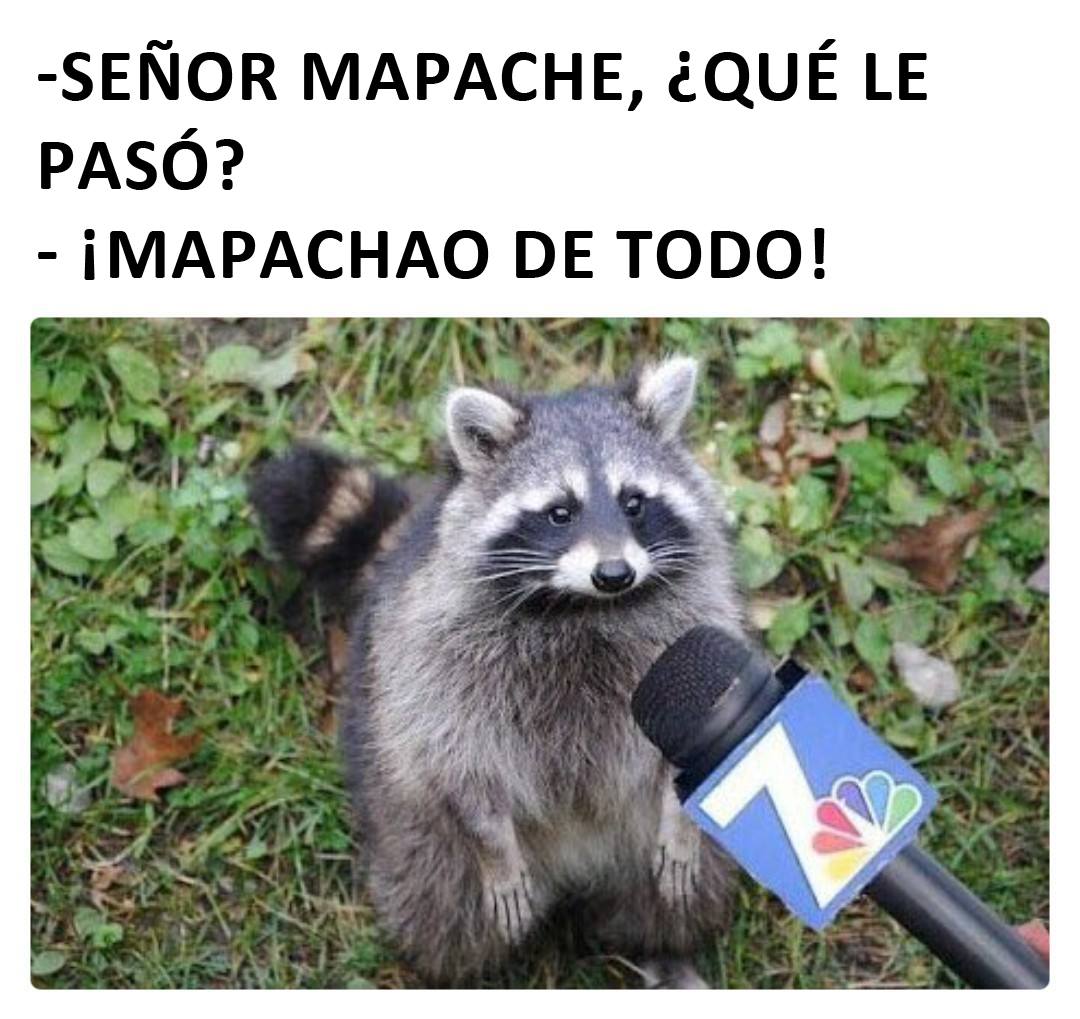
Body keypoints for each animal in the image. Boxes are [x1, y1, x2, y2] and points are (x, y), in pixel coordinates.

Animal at [250, 356, 747, 987]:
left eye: (634, 502)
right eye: (560, 512)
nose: (614, 573)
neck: (582, 608)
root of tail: (575, 868)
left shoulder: (690, 628)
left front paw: (678, 822)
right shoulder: (437, 659)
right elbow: (460, 756)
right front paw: (492, 841)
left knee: (679, 890)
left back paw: (662, 945)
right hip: (417, 832)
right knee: (440, 911)